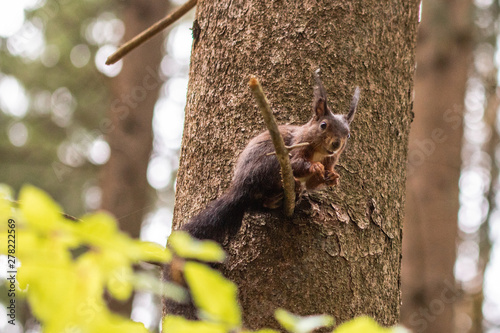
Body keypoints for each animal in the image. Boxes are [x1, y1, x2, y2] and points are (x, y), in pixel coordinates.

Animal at [180, 70, 360, 243]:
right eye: (323, 125)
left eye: (348, 134)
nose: (336, 144)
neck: (320, 153)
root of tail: (239, 187)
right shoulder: (294, 146)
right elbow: (296, 163)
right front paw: (315, 166)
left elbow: (313, 182)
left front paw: (332, 176)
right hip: (268, 165)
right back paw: (292, 185)